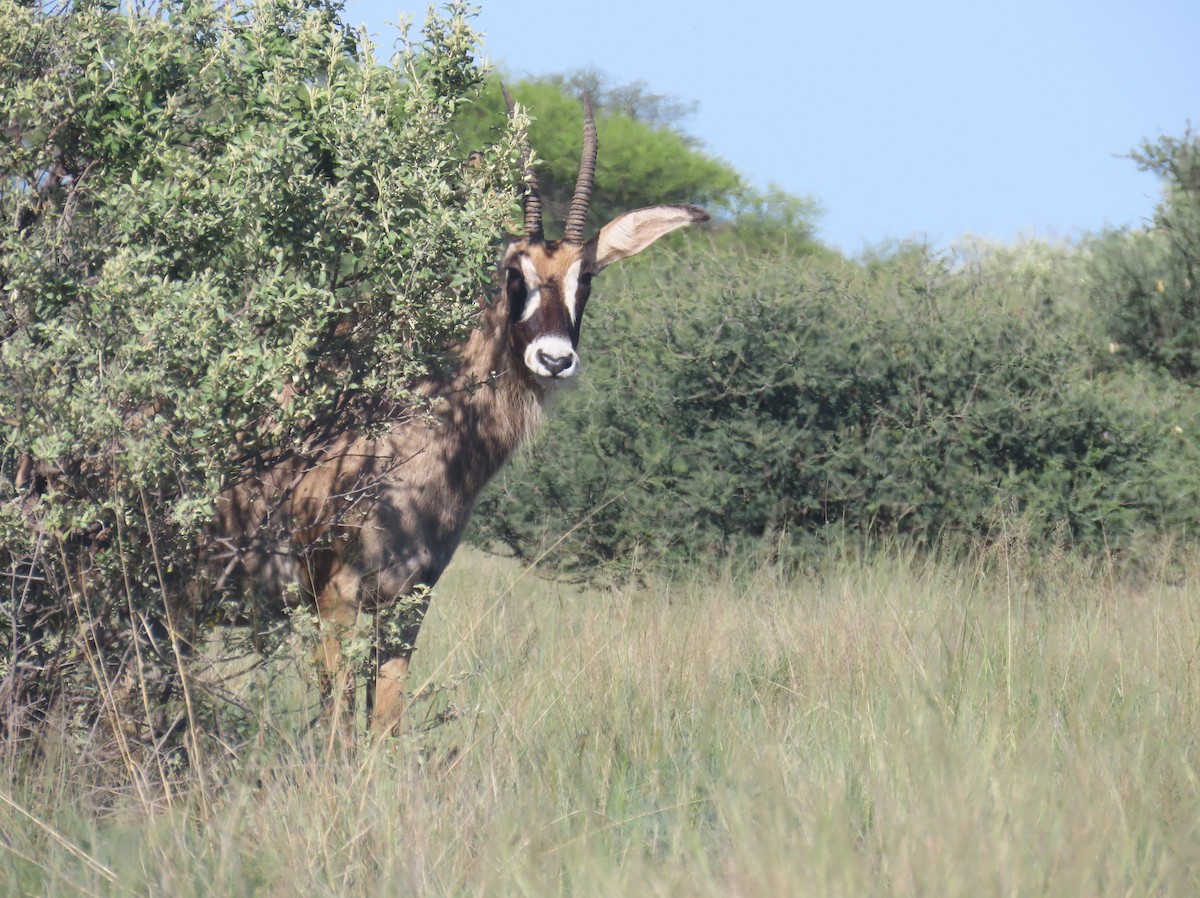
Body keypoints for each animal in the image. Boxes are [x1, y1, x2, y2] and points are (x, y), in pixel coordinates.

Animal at [218, 95, 708, 736]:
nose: (555, 358)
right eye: (513, 273)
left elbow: (385, 723)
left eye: (588, 278)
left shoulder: (411, 598)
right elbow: (338, 723)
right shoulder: (336, 596)